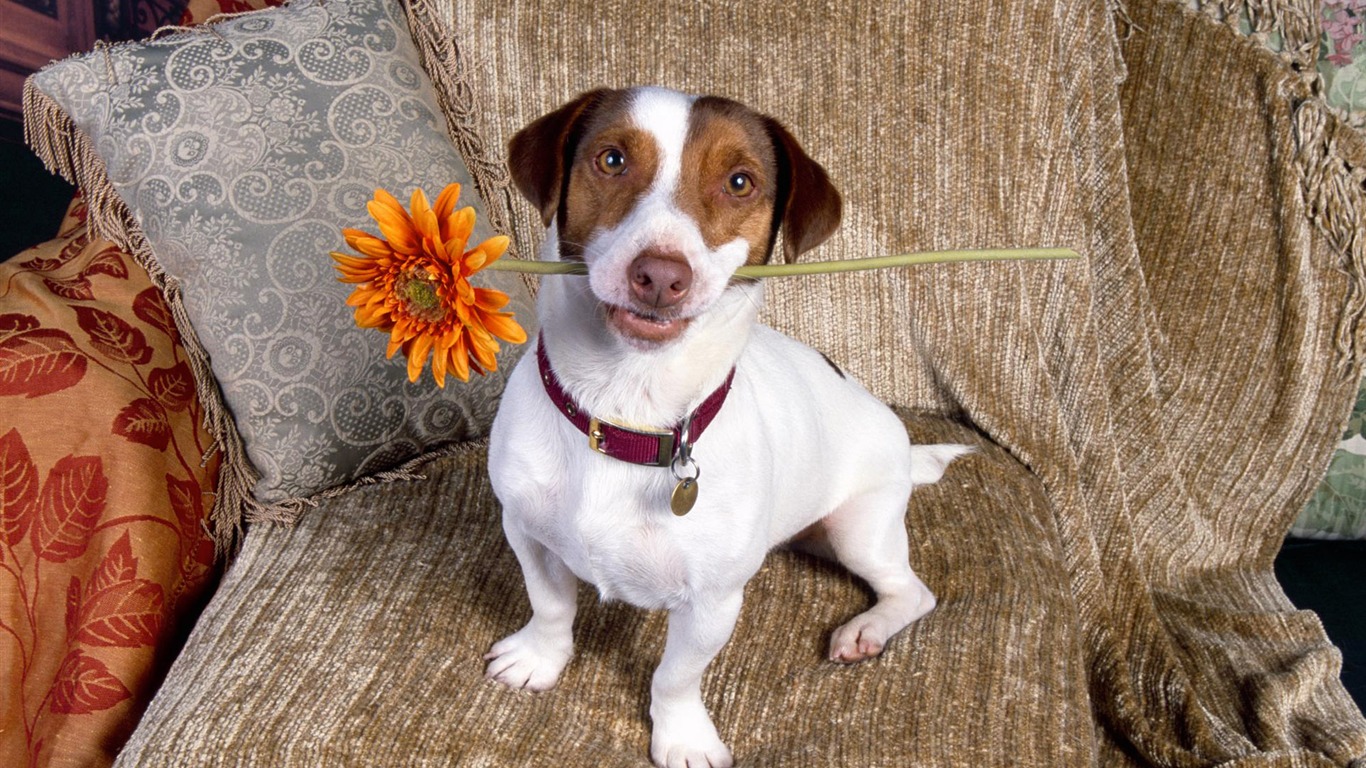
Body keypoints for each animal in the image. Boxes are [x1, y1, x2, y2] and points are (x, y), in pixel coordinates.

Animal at [486, 86, 967, 765]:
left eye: (740, 182)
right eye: (611, 160)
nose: (661, 275)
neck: (627, 411)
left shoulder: (712, 603)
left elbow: (675, 676)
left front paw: (682, 735)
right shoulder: (526, 532)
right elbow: (550, 606)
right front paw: (539, 659)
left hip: (861, 528)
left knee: (911, 591)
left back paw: (866, 629)